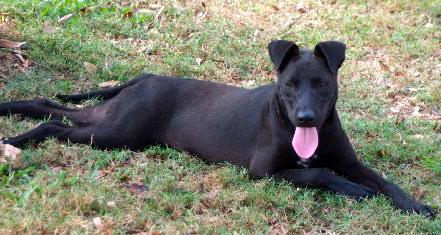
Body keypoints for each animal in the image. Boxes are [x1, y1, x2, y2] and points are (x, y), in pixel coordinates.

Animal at [0, 40, 434, 217]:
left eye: (322, 84)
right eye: (290, 85)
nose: (306, 119)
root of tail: (146, 76)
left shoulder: (350, 161)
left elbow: (385, 181)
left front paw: (417, 206)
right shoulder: (264, 172)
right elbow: (320, 175)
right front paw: (356, 192)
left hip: (113, 122)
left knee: (49, 109)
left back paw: (11, 118)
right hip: (117, 134)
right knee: (52, 125)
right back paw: (16, 138)